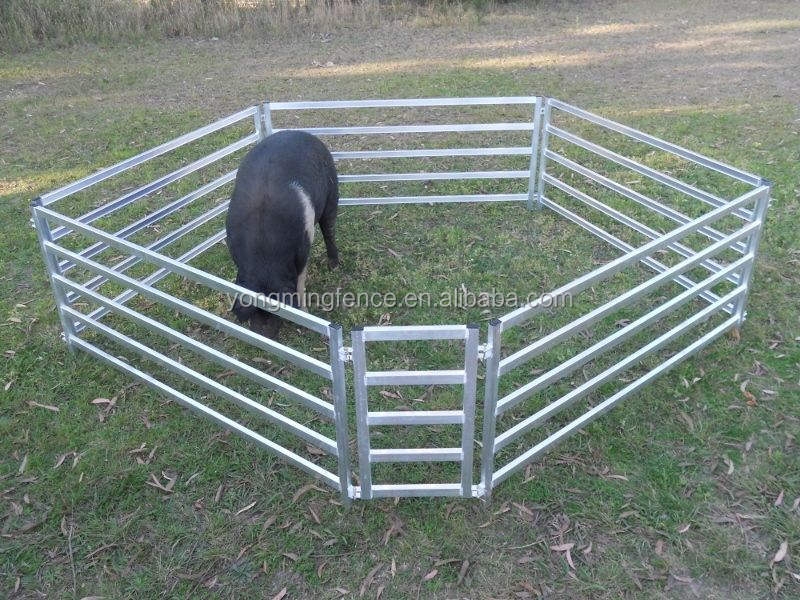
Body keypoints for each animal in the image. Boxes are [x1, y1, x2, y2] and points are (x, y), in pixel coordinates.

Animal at [225, 130, 339, 339]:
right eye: (255, 310)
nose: (264, 335)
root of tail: (298, 132)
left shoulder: (304, 245)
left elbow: (300, 280)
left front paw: (304, 313)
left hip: (332, 191)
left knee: (329, 230)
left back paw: (334, 265)